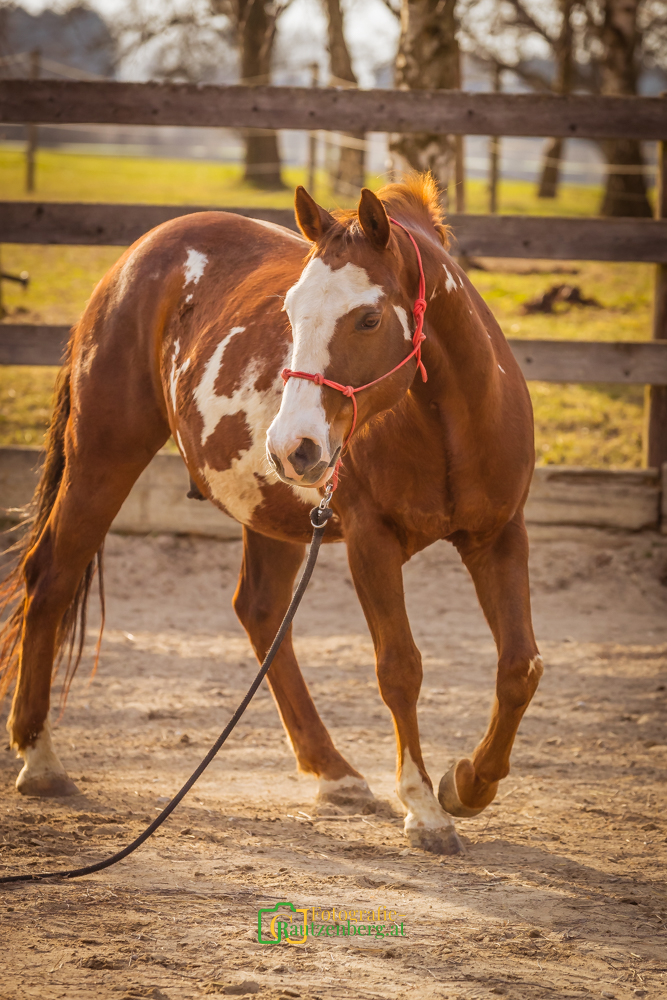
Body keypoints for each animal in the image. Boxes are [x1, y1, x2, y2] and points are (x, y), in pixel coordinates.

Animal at [0, 174, 542, 855]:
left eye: (368, 317)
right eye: (289, 313)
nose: (293, 446)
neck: (452, 423)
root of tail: (136, 258)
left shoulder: (500, 536)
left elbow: (519, 667)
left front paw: (468, 784)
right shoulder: (371, 542)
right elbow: (399, 668)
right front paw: (424, 807)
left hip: (271, 511)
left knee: (259, 610)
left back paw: (333, 771)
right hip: (103, 458)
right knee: (51, 578)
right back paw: (40, 759)